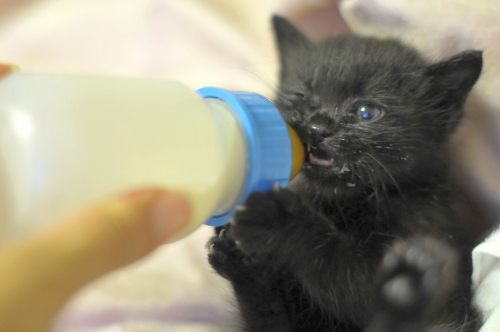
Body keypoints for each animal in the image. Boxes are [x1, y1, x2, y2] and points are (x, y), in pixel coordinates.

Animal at [206, 15, 480, 332]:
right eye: (301, 97)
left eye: (365, 112)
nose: (317, 127)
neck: (343, 202)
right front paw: (237, 252)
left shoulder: (429, 230)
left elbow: (345, 271)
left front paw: (279, 218)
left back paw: (410, 289)